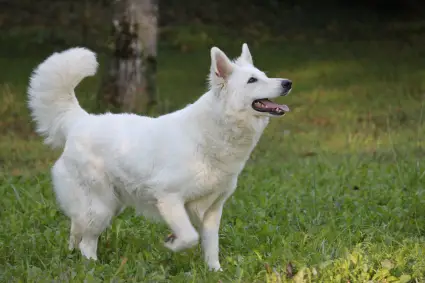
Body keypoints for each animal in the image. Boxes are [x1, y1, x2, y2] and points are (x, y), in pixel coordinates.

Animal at [26, 43, 292, 272]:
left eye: (263, 75)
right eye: (252, 80)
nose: (288, 83)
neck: (212, 133)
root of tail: (80, 120)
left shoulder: (212, 210)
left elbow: (210, 246)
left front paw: (215, 271)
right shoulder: (169, 198)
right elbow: (189, 237)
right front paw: (171, 244)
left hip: (105, 205)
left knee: (76, 229)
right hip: (101, 206)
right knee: (87, 241)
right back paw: (92, 266)